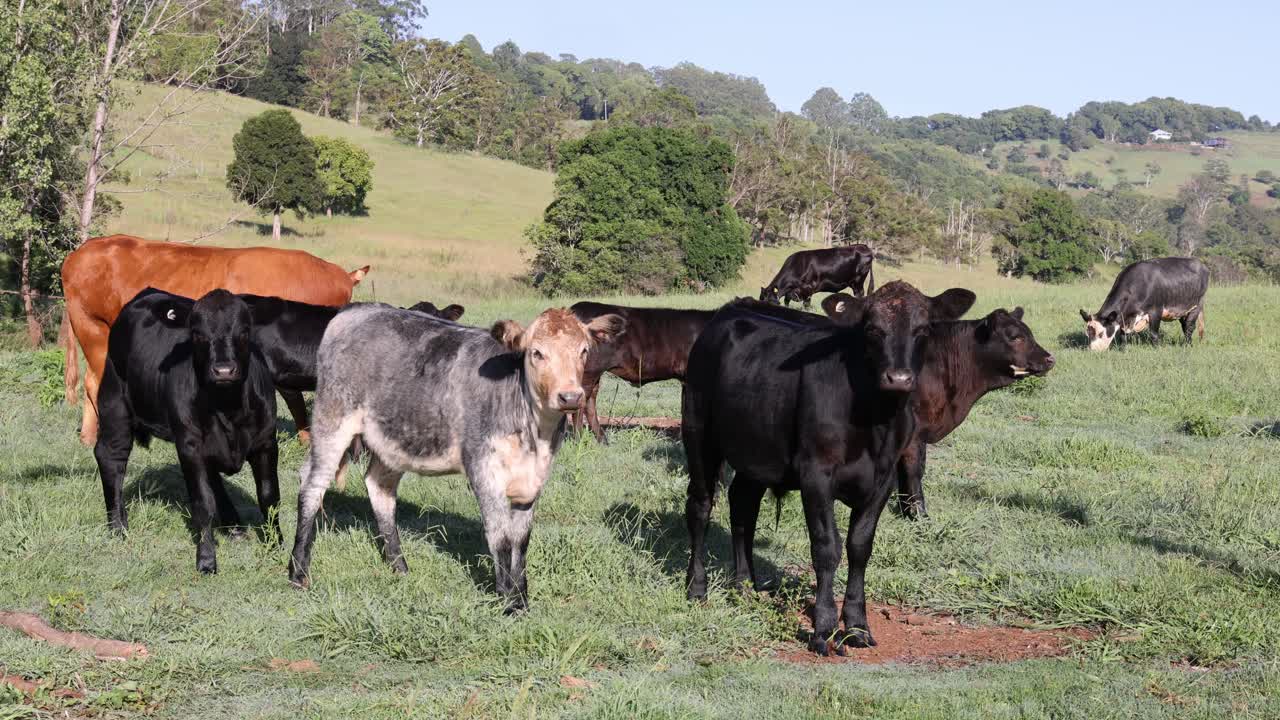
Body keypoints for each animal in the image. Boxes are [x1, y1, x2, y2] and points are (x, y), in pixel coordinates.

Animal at [93, 289, 281, 574]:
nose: (223, 370)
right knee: (110, 457)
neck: (227, 407)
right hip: (114, 401)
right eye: (198, 334)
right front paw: (206, 559)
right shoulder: (190, 446)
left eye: (244, 331)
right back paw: (117, 526)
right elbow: (203, 502)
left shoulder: (266, 442)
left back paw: (234, 526)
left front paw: (278, 548)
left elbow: (269, 497)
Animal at [287, 305, 625, 612]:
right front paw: (507, 602)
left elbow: (521, 540)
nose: (570, 396)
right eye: (537, 353)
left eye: (583, 351)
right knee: (312, 485)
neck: (534, 434)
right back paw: (298, 572)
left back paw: (400, 567)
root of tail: (353, 312)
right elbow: (501, 537)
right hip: (332, 420)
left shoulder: (534, 477)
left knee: (379, 487)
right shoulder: (483, 468)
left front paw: (522, 599)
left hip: (393, 437)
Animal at [682, 281, 975, 655]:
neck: (874, 419)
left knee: (743, 508)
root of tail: (731, 310)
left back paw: (745, 585)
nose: (898, 378)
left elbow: (859, 547)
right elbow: (826, 547)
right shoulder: (816, 475)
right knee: (700, 507)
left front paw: (857, 626)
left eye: (923, 329)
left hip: (756, 451)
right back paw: (696, 588)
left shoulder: (882, 480)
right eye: (872, 329)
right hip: (698, 434)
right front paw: (823, 628)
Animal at [823, 293, 1055, 519]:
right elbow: (914, 469)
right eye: (1015, 336)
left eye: (1029, 333)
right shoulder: (914, 431)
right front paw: (919, 515)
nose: (1049, 359)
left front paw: (906, 510)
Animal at [1079, 257, 1208, 351]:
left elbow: (1153, 334)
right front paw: (1123, 349)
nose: (1093, 351)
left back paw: (1188, 345)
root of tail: (1200, 264)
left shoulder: (1156, 311)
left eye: (1101, 333)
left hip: (1196, 305)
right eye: (1087, 333)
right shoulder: (1124, 318)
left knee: (1189, 327)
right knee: (1185, 325)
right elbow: (1123, 335)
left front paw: (1157, 349)